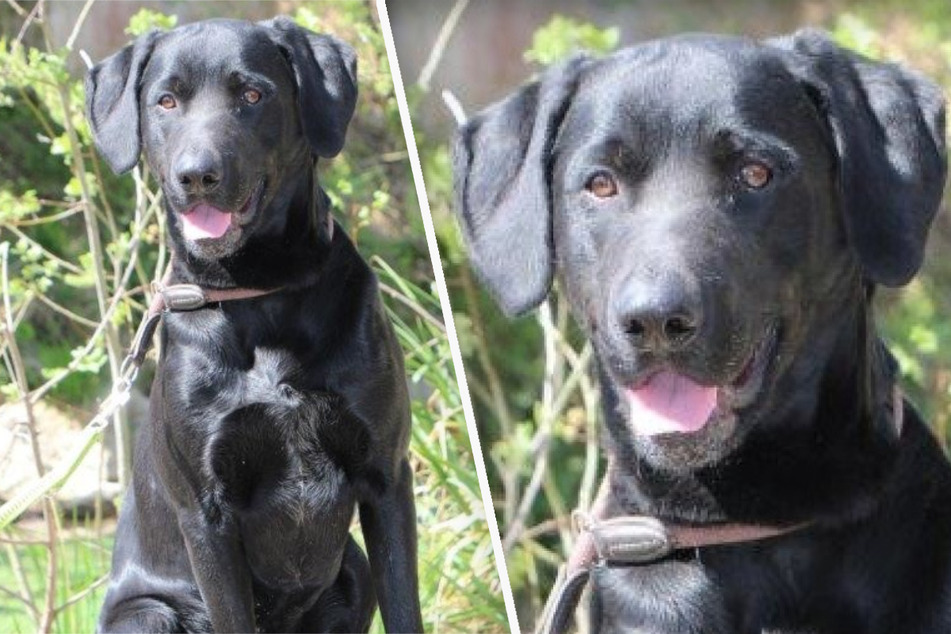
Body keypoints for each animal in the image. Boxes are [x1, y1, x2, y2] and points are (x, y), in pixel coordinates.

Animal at [89, 17, 424, 628]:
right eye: (165, 101)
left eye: (251, 94)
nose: (197, 176)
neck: (261, 295)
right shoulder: (206, 515)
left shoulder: (387, 478)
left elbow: (406, 609)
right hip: (145, 614)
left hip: (354, 570)